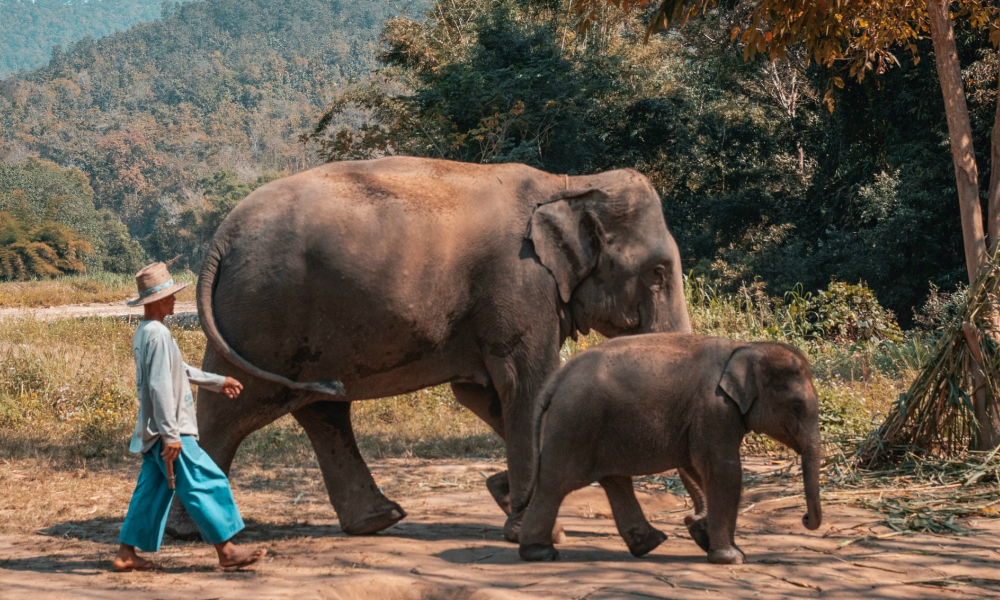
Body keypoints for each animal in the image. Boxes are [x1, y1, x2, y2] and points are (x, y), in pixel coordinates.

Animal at [168, 156, 692, 540]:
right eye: (658, 273)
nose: (694, 527)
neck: (571, 183)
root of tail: (219, 240)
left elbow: (484, 394)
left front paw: (506, 496)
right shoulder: (519, 285)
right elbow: (526, 386)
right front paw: (529, 524)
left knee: (319, 407)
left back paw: (378, 520)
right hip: (264, 316)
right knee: (233, 408)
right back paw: (193, 533)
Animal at [516, 332, 820, 564]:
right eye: (797, 407)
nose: (805, 518)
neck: (746, 347)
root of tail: (557, 378)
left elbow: (697, 467)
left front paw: (703, 534)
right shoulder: (715, 408)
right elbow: (724, 470)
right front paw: (732, 558)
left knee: (615, 481)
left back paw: (649, 544)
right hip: (575, 425)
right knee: (556, 484)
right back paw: (539, 552)